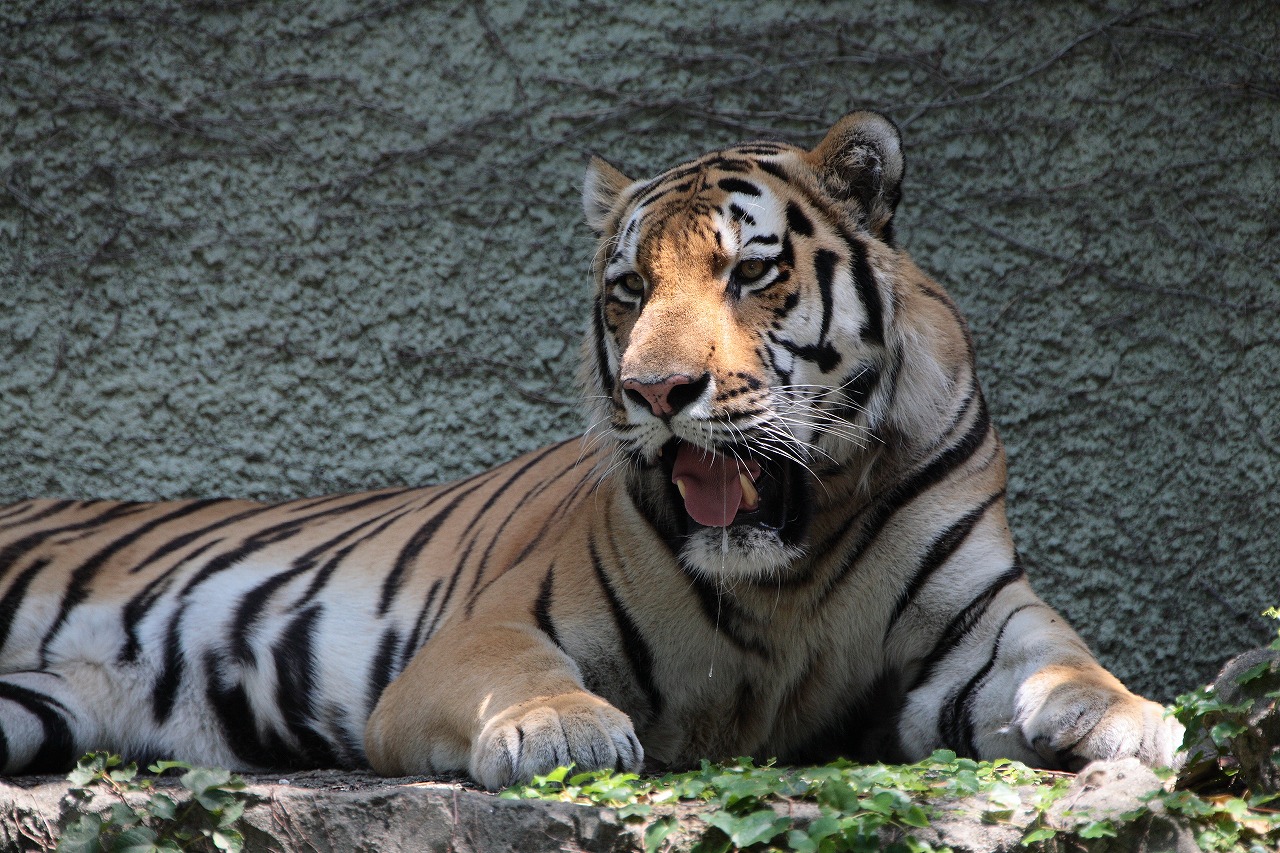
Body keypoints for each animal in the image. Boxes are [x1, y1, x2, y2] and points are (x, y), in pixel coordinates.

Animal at [0, 111, 1177, 783]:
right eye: (629, 288)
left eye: (749, 272)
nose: (655, 391)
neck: (788, 568)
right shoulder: (480, 633)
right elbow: (527, 674)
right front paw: (558, 727)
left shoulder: (975, 628)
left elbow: (1065, 661)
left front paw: (1132, 720)